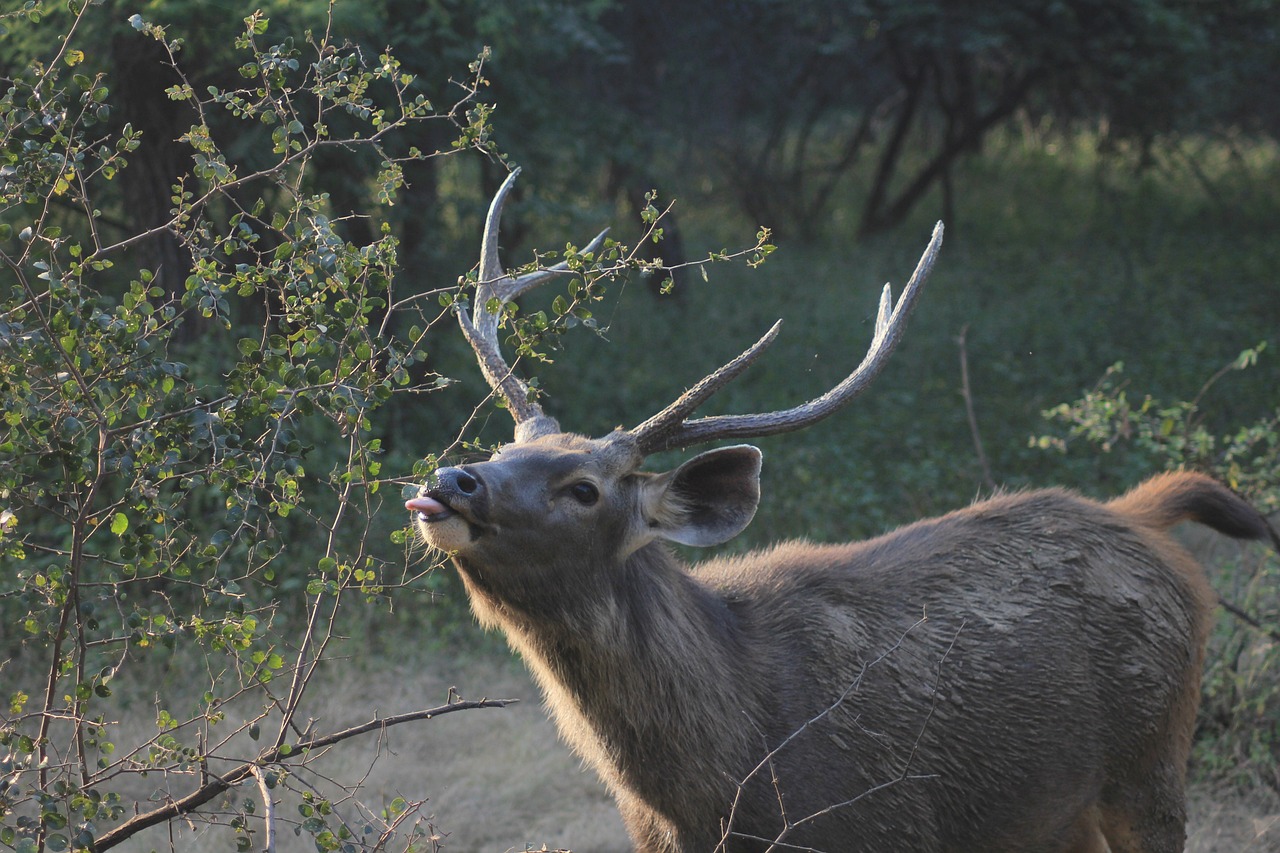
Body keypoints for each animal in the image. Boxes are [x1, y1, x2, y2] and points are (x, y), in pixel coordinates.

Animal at [407, 167, 1269, 850]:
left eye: (585, 487)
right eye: (505, 445)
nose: (454, 478)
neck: (719, 789)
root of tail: (1140, 517)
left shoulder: (887, 828)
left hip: (1152, 755)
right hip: (1058, 813)